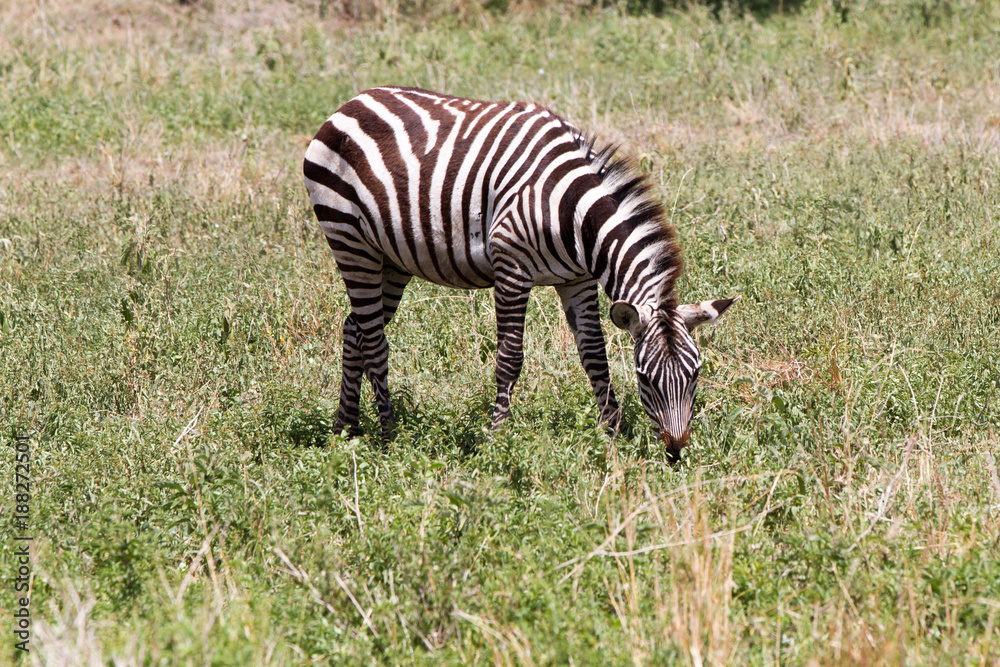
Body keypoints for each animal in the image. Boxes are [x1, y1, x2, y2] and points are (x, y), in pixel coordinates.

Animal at [302, 86, 735, 457]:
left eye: (696, 374)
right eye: (645, 377)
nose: (676, 450)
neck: (572, 213)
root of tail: (352, 101)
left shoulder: (578, 281)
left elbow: (595, 356)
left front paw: (613, 433)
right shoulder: (511, 268)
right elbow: (510, 357)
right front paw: (497, 436)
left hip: (390, 259)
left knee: (355, 329)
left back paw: (347, 429)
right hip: (349, 241)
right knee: (374, 341)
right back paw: (389, 435)